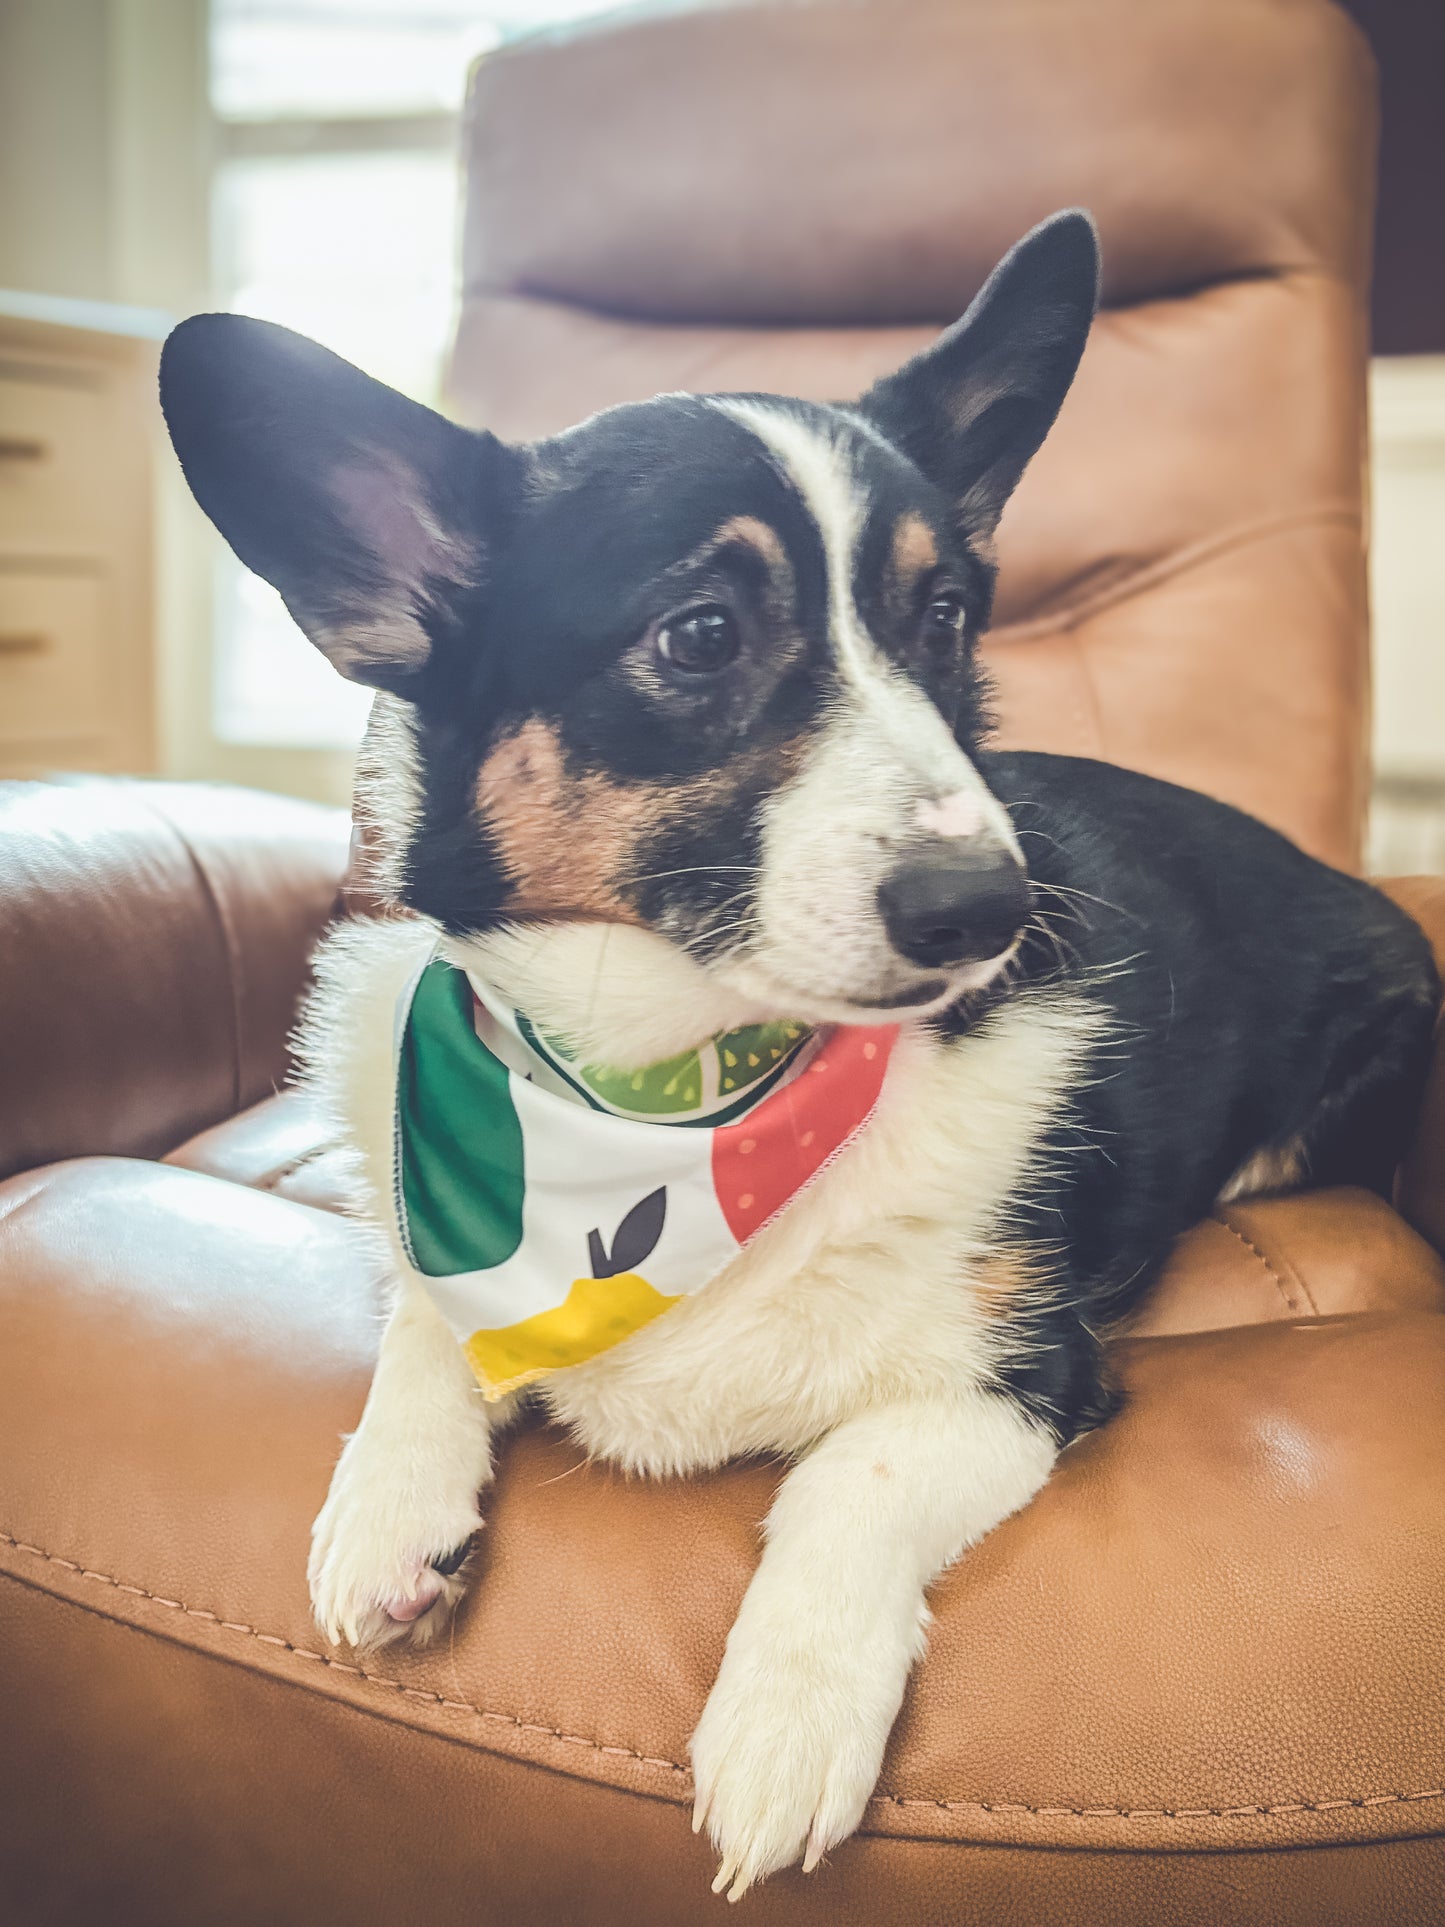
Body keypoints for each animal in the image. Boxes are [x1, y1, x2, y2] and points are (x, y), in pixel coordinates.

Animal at [157, 211, 1441, 1896]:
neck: (670, 1097)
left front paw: (782, 1726)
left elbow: (846, 1477)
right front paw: (386, 1509)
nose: (993, 909)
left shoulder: (1020, 1376)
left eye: (944, 618)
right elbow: (431, 1319)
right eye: (700, 634)